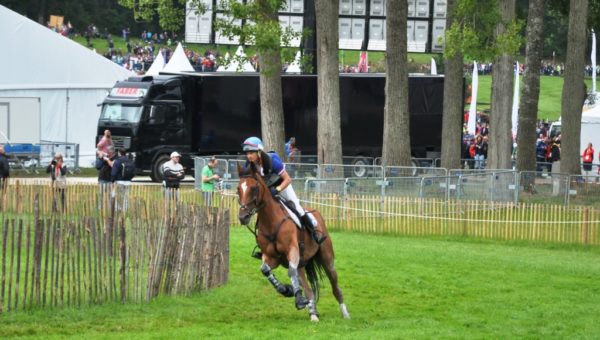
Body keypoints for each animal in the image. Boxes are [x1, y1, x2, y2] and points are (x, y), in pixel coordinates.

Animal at [236, 163, 350, 322]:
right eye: (238, 189)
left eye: (253, 188)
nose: (243, 217)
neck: (271, 221)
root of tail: (318, 215)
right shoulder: (272, 257)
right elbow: (265, 269)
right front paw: (286, 290)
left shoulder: (292, 251)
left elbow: (290, 271)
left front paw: (298, 300)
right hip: (302, 264)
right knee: (308, 289)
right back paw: (313, 314)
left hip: (327, 259)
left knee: (335, 286)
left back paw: (345, 314)